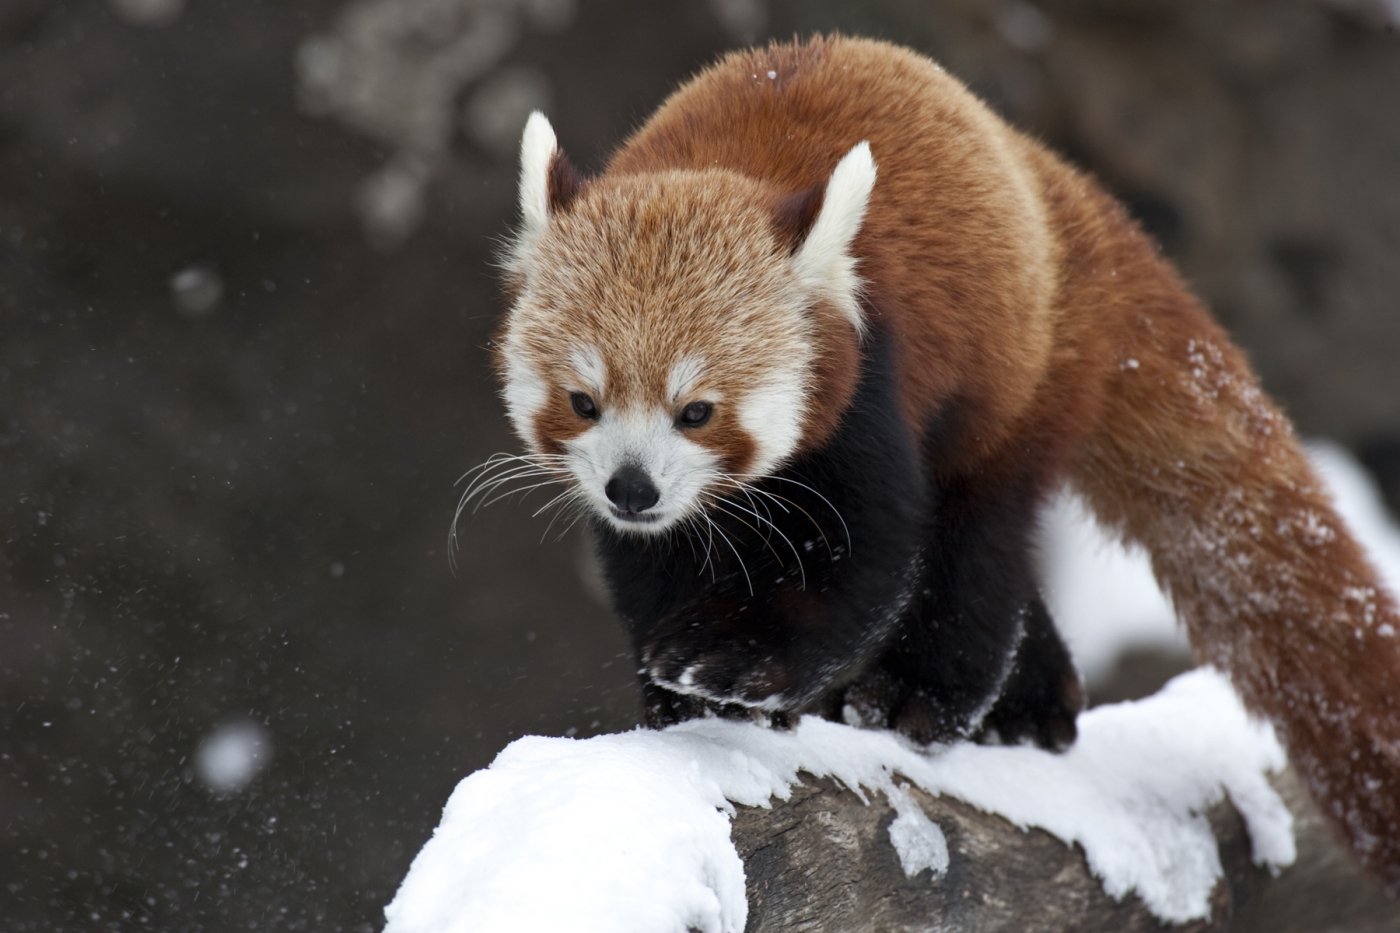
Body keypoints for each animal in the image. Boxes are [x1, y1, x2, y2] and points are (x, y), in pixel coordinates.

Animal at [481, 36, 1400, 890]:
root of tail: (1051, 183)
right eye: (583, 401)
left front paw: (743, 663)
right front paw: (680, 690)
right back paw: (1035, 702)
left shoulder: (870, 386)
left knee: (977, 547)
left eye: (696, 410)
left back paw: (928, 694)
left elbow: (869, 555)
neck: (721, 168)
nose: (632, 488)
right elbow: (654, 569)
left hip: (1016, 386)